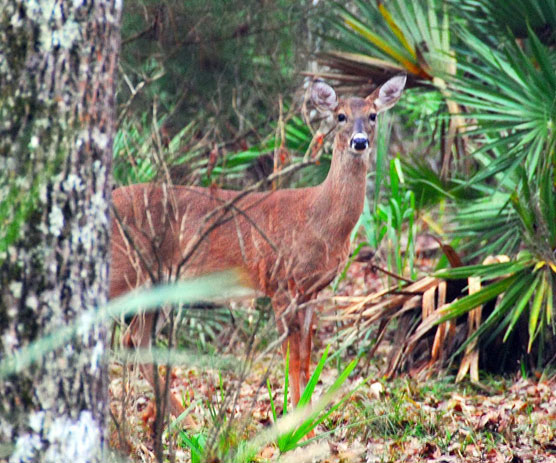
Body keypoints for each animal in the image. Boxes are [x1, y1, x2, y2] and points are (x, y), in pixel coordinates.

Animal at [108, 75, 406, 424]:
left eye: (373, 115)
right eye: (340, 116)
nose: (359, 142)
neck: (320, 220)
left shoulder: (311, 290)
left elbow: (306, 359)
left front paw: (306, 422)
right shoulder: (280, 282)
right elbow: (291, 358)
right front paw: (295, 425)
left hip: (157, 284)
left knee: (135, 339)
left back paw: (184, 419)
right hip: (123, 272)